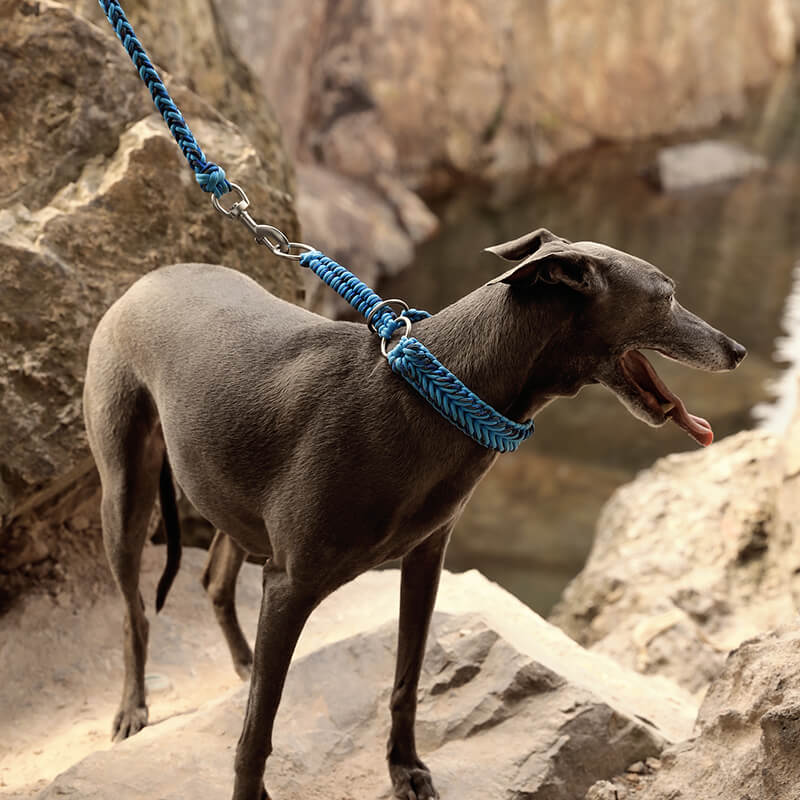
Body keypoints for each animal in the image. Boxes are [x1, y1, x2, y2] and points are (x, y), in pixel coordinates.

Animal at [84, 227, 748, 800]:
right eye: (666, 296)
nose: (738, 349)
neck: (427, 390)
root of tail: (150, 277)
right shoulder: (291, 585)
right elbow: (257, 735)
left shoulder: (425, 558)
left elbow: (405, 682)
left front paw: (406, 770)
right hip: (125, 490)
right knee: (135, 612)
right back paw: (132, 708)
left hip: (224, 488)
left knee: (215, 579)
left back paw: (244, 663)